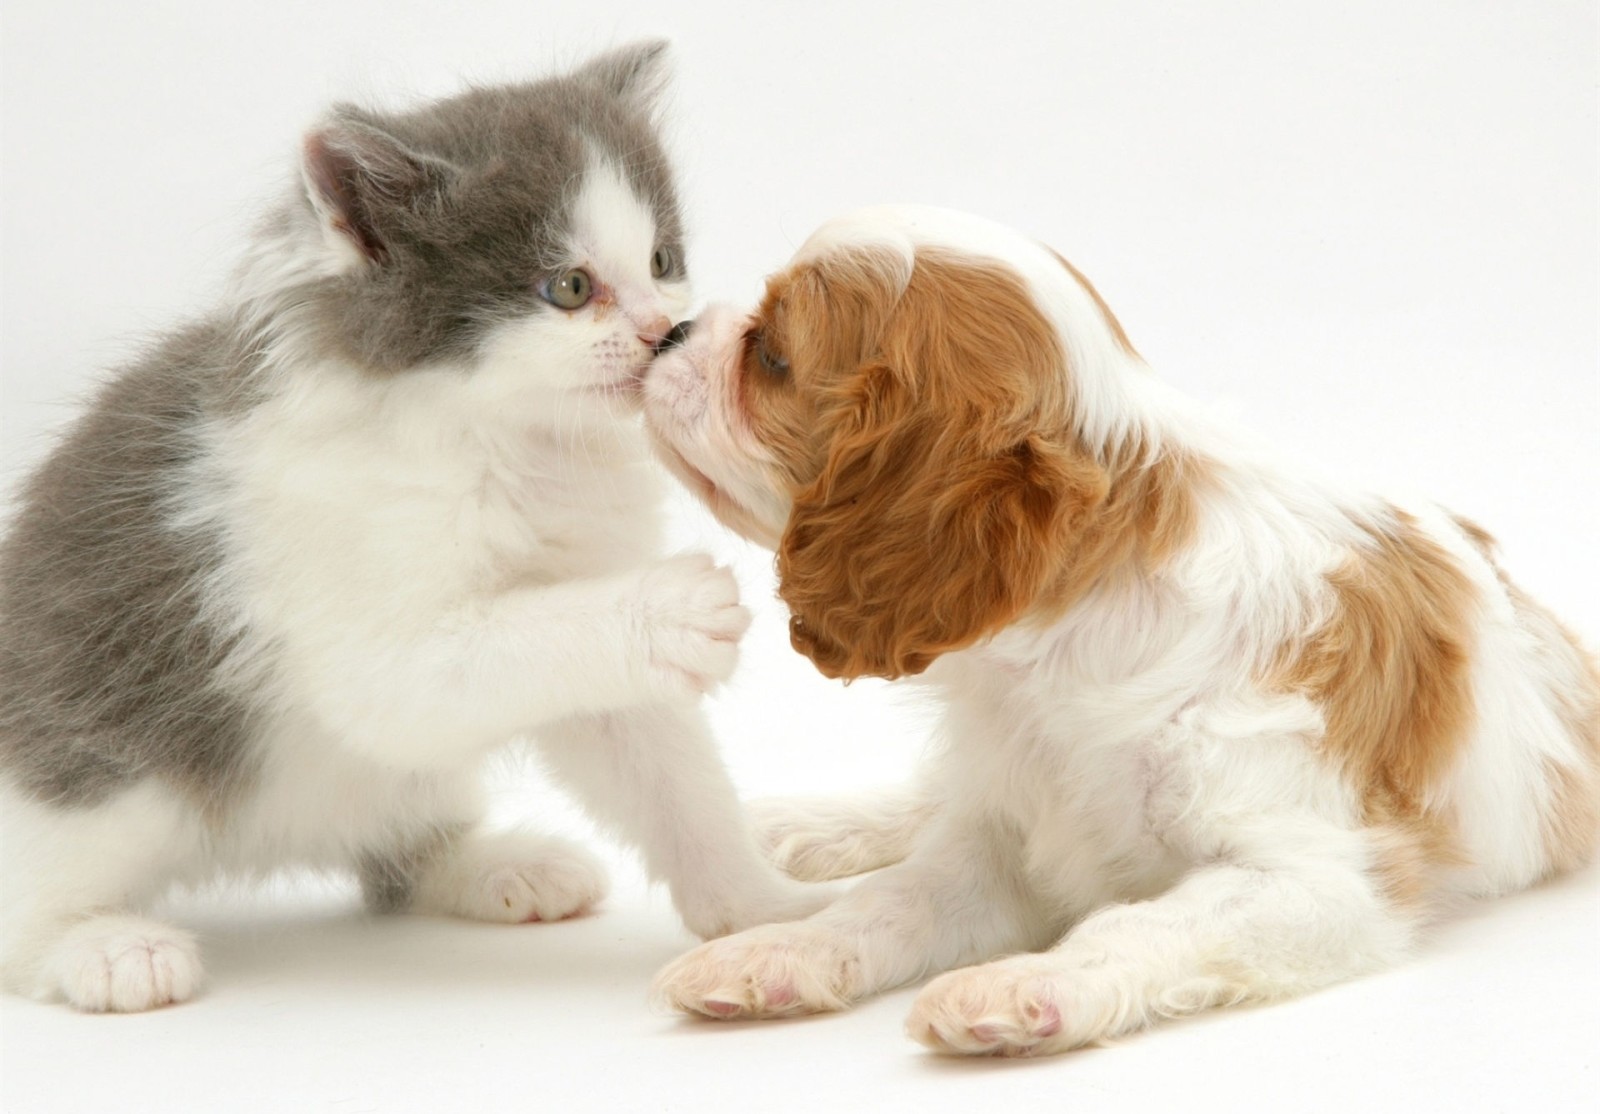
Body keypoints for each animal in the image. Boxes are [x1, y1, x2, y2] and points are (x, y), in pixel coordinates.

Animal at [0, 43, 825, 1011]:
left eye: (662, 259)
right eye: (569, 287)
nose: (665, 330)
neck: (509, 440)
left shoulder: (598, 654)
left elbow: (672, 779)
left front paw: (772, 910)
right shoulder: (366, 636)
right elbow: (462, 664)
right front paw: (672, 609)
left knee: (395, 858)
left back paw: (493, 865)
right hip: (98, 787)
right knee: (27, 912)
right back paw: (106, 948)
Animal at [640, 206, 1600, 1049]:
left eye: (772, 355)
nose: (671, 331)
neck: (1059, 646)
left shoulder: (1315, 876)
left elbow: (1136, 926)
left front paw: (1027, 985)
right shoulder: (1004, 844)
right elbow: (895, 897)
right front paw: (780, 950)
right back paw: (799, 825)